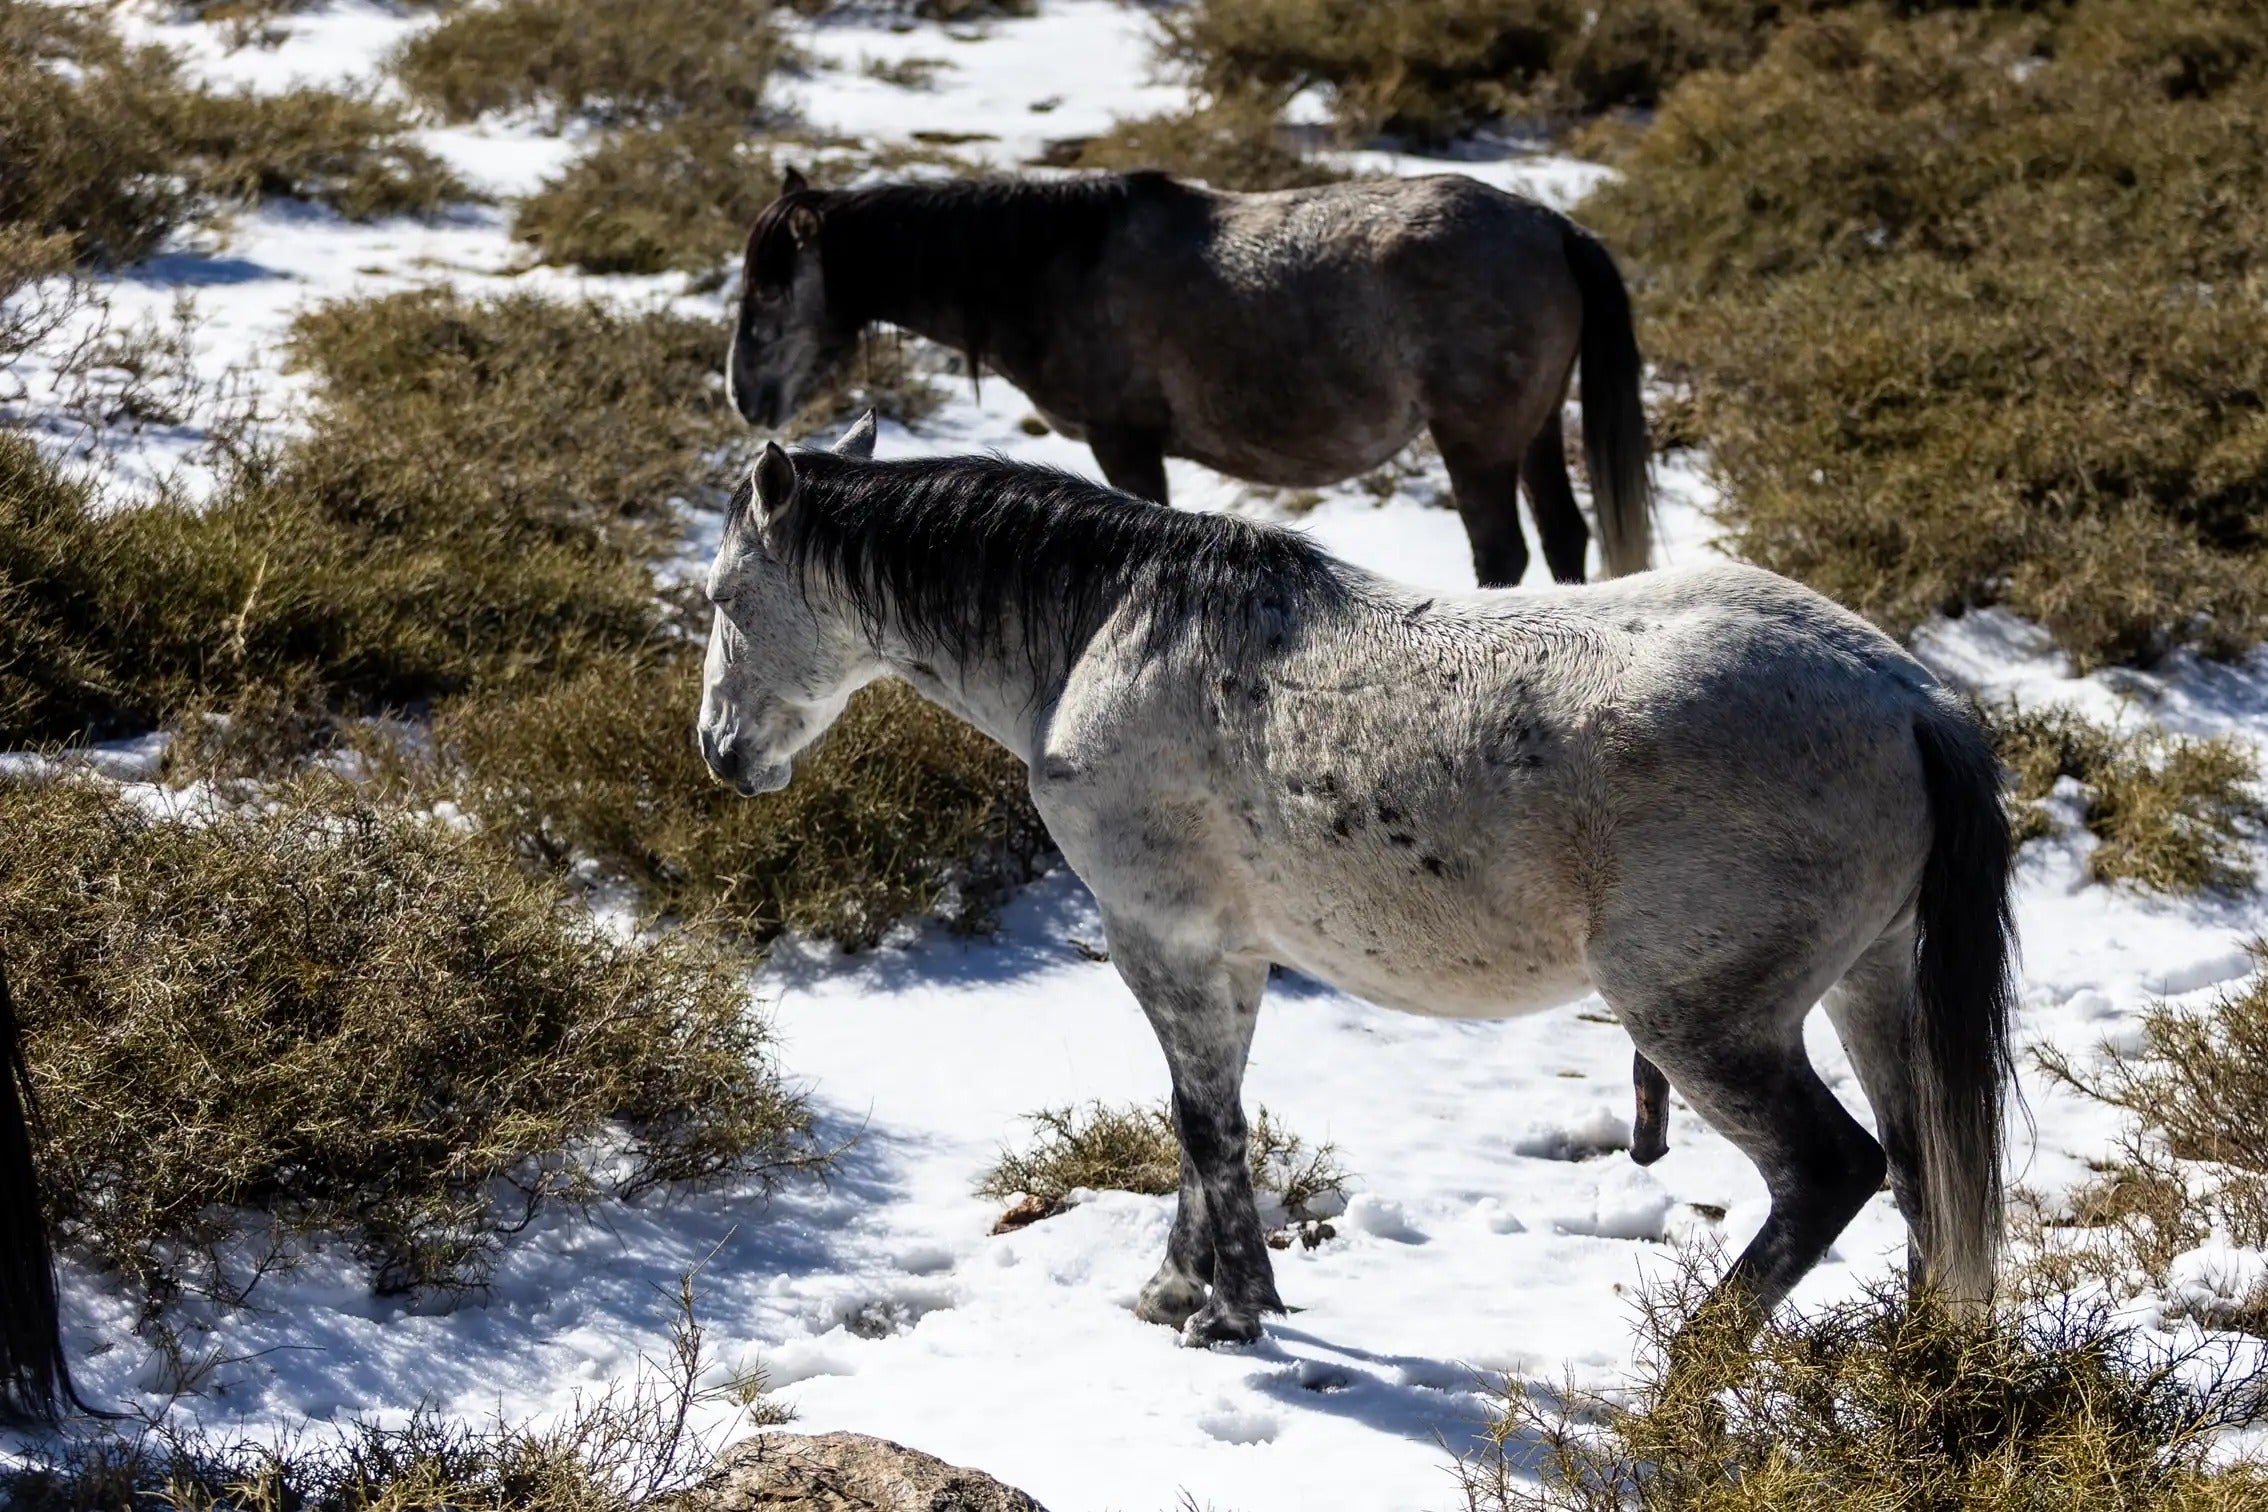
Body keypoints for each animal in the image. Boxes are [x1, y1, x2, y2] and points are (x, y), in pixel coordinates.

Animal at [696, 414, 2018, 1349]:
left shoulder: (1159, 936)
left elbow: (1202, 1125)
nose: (720, 754)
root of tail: (1909, 700)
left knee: (1831, 1173)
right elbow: (1210, 1120)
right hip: (1868, 987)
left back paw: (1688, 1372)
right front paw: (1181, 1291)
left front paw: (1229, 1312)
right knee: (1920, 1172)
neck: (1105, 632)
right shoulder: (1227, 953)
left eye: (721, 597)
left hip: (1702, 1020)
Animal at [726, 168, 1653, 594]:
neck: (1057, 267)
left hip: (1476, 446)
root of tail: (1553, 227)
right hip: (1533, 433)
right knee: (1566, 537)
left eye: (770, 288)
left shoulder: (1125, 445)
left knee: (1503, 552)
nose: (745, 397)